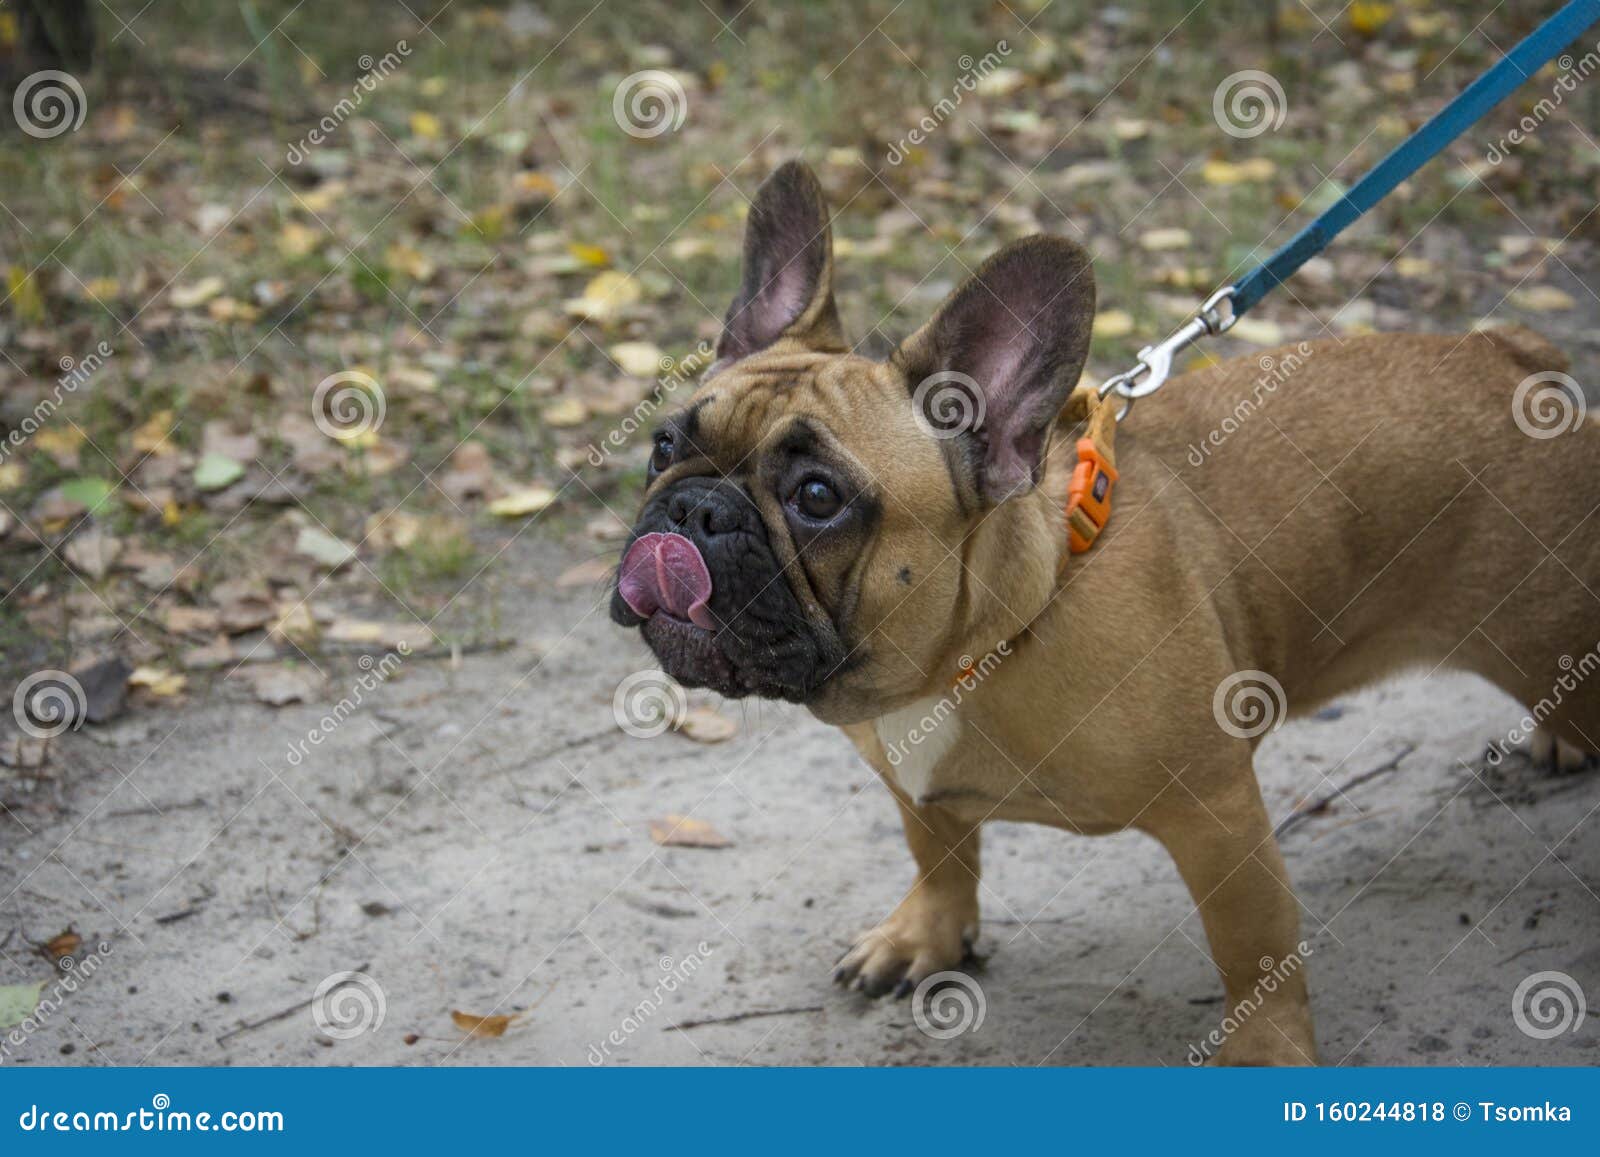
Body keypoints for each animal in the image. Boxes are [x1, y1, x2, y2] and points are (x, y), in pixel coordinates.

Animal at [604, 163, 1593, 1068]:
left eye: (817, 497)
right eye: (663, 443)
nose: (693, 509)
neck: (987, 644)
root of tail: (1508, 352)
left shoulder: (1217, 814)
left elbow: (1252, 946)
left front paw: (1266, 1049)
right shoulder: (914, 785)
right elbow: (941, 856)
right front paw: (924, 938)